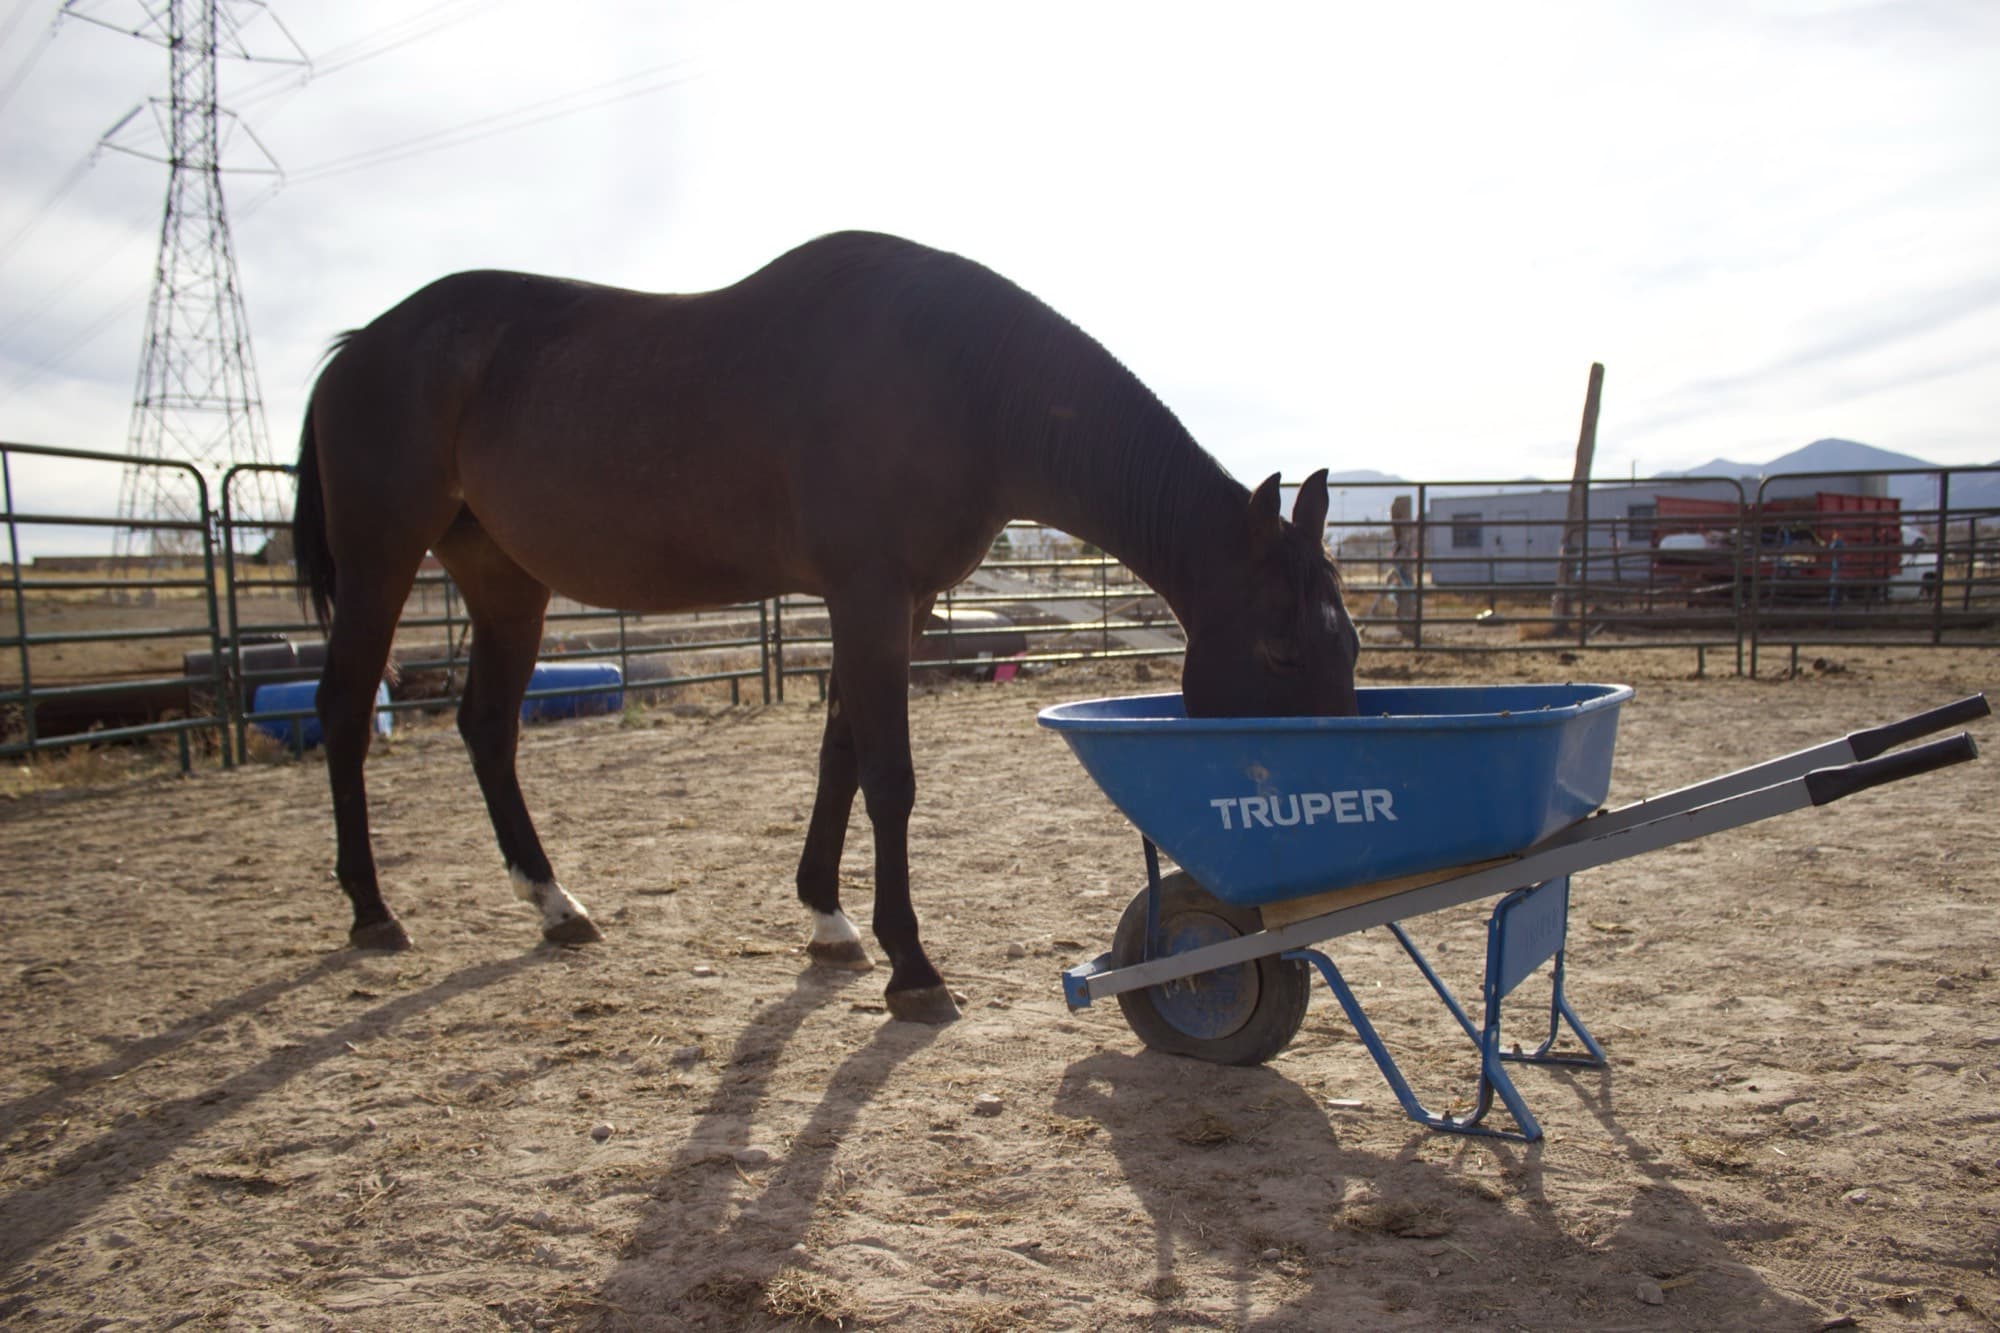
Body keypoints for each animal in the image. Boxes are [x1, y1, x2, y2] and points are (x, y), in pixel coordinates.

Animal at [290, 229, 1359, 1025]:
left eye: (1347, 645)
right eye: (1279, 649)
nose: (1319, 882)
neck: (967, 381)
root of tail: (361, 344)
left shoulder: (897, 604)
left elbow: (839, 754)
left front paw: (829, 918)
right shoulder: (870, 595)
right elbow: (889, 776)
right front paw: (913, 967)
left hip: (503, 578)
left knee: (486, 725)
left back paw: (555, 904)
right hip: (384, 561)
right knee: (344, 709)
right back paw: (373, 911)